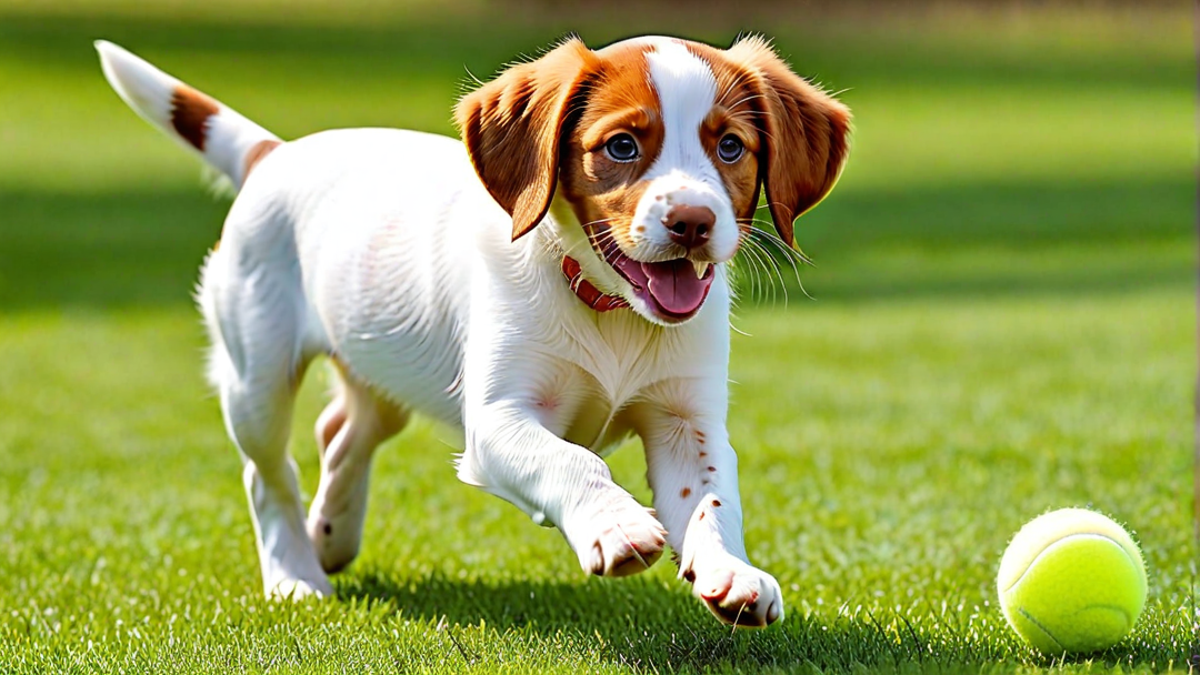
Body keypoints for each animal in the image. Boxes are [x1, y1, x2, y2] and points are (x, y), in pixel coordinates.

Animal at [98, 35, 849, 624]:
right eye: (622, 145)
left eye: (731, 146)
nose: (693, 222)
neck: (608, 310)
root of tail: (274, 155)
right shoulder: (495, 420)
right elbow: (573, 460)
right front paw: (615, 524)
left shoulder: (685, 417)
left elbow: (713, 497)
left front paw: (730, 570)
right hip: (257, 371)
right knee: (268, 471)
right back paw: (295, 574)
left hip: (379, 362)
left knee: (343, 430)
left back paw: (331, 533)